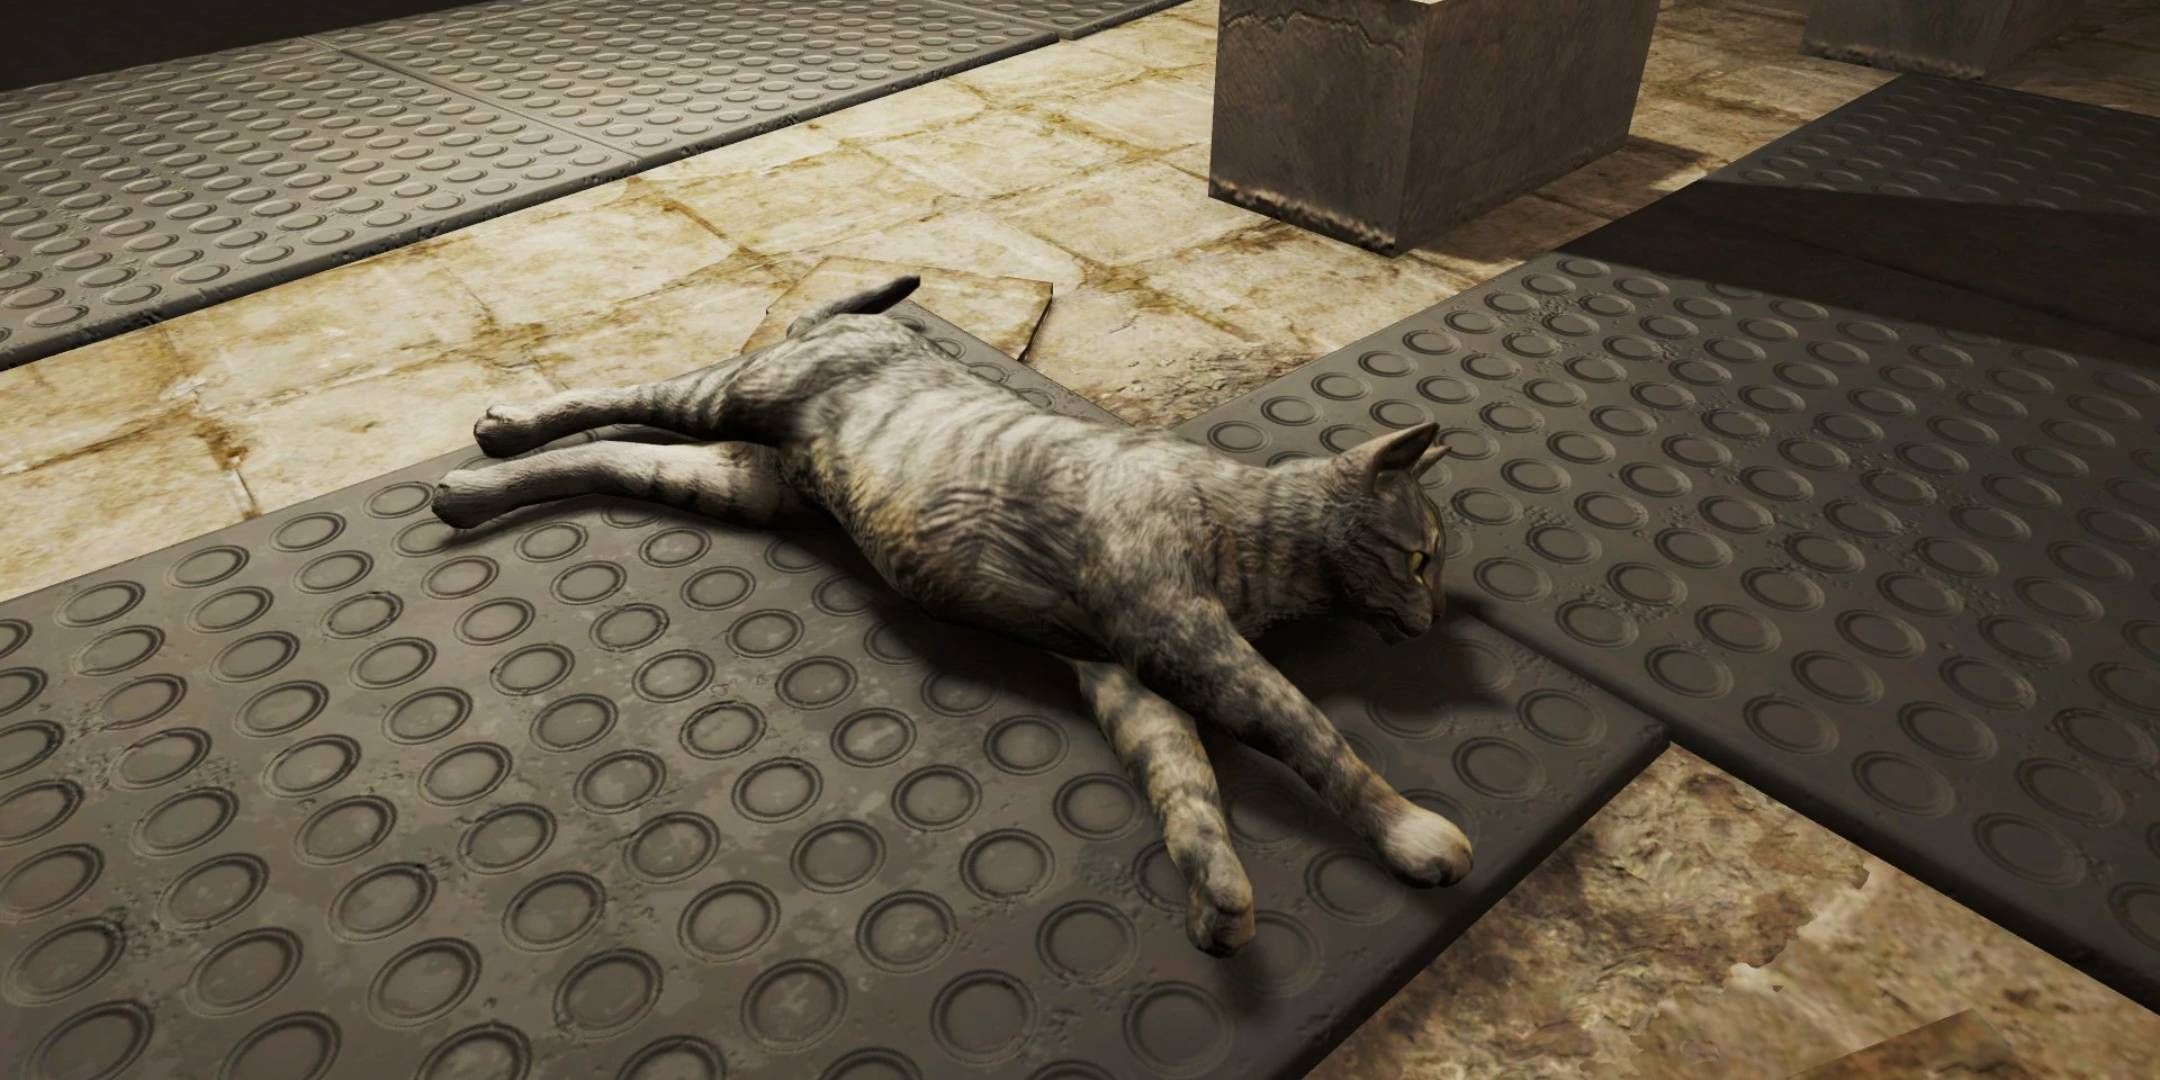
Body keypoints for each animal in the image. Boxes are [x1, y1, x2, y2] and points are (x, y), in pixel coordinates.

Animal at [429, 275, 1471, 955]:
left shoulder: (1127, 674)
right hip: (722, 398)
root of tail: (860, 327)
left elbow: (1187, 788)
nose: (1427, 621)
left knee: (609, 458)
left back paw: (470, 494)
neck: (1260, 532)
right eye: (1418, 557)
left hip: (743, 481)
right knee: (619, 395)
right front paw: (1411, 832)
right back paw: (505, 427)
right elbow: (1312, 734)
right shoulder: (1187, 639)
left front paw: (1217, 893)